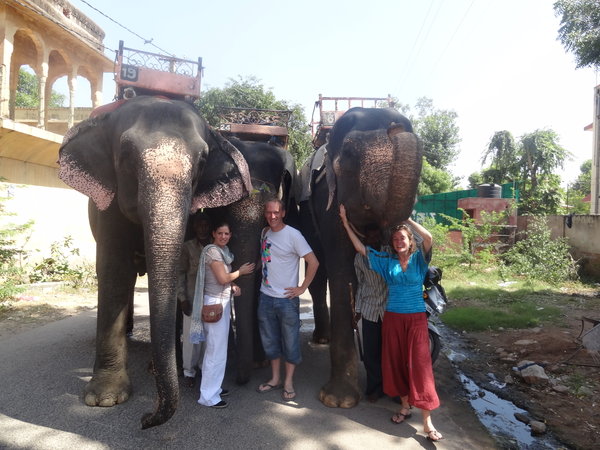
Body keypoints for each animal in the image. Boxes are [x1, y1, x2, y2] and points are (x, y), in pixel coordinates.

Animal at [56, 96, 251, 428]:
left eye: (202, 161)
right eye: (125, 155)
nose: (146, 418)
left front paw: (155, 369)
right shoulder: (108, 208)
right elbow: (114, 271)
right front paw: (104, 399)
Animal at [296, 106, 422, 408]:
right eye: (350, 153)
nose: (395, 126)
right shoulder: (327, 203)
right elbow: (342, 272)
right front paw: (337, 401)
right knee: (317, 272)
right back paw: (322, 338)